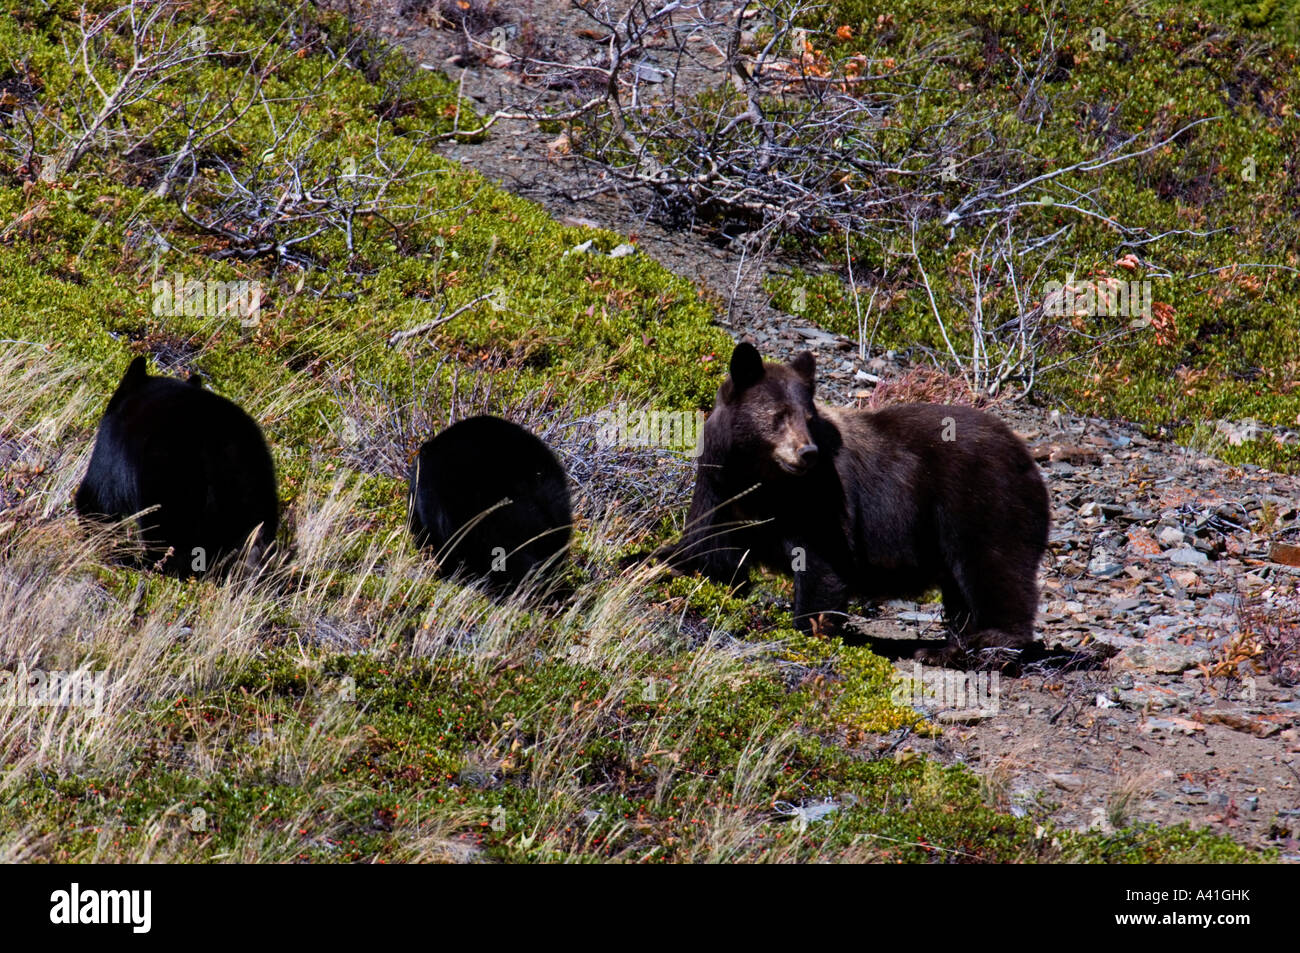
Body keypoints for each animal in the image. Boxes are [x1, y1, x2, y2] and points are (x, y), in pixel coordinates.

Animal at [665, 343, 1050, 660]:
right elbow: (710, 552)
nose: (807, 453)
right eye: (779, 415)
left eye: (808, 418)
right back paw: (948, 646)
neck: (757, 479)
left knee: (992, 566)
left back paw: (981, 643)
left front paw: (807, 630)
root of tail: (1024, 454)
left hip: (983, 500)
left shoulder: (817, 497)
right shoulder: (718, 488)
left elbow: (821, 562)